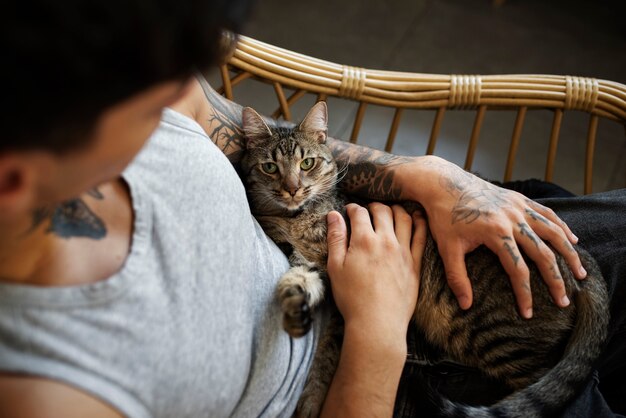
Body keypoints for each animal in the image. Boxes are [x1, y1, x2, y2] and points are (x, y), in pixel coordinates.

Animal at [240, 102, 608, 418]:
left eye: (307, 163)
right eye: (270, 167)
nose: (292, 188)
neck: (296, 219)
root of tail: (576, 259)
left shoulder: (339, 293)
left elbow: (328, 354)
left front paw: (312, 399)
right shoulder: (310, 264)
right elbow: (299, 279)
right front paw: (294, 304)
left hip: (499, 338)